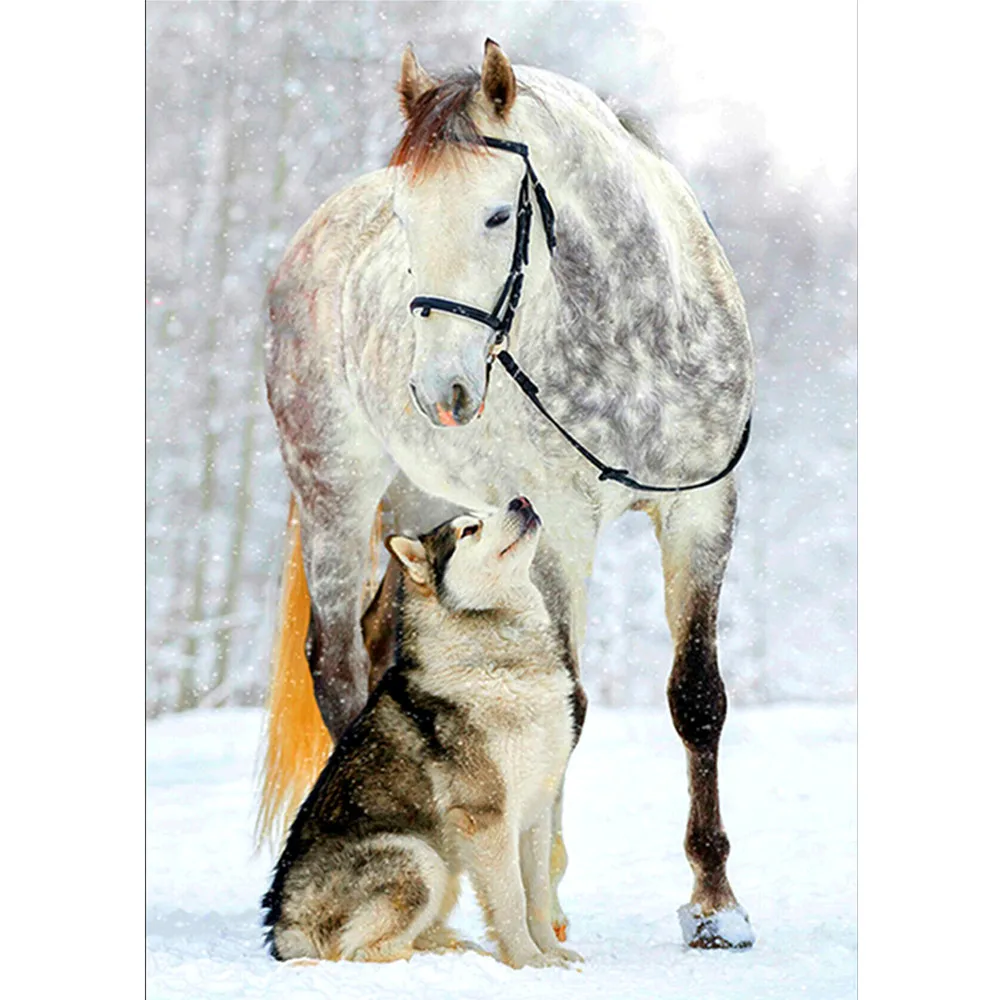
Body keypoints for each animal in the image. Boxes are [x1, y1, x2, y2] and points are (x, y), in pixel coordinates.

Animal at [262, 497, 586, 968]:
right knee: (360, 951)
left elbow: (538, 895)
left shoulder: (537, 808)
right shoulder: (488, 815)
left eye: (492, 507)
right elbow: (510, 899)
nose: (520, 500)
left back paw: (451, 945)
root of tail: (283, 929)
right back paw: (435, 958)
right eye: (470, 530)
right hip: (419, 856)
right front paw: (529, 961)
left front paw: (552, 952)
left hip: (442, 866)